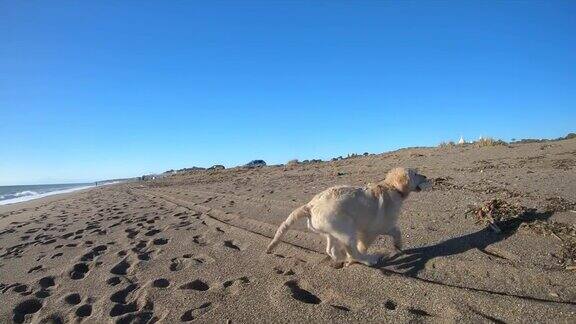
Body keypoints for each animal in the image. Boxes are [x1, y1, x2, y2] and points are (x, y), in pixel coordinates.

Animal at [266, 167, 428, 266]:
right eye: (415, 174)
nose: (426, 176)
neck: (391, 187)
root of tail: (310, 205)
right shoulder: (373, 229)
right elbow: (365, 245)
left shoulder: (385, 226)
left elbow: (397, 231)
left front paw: (398, 246)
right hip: (346, 230)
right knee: (353, 251)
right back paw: (368, 260)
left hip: (332, 231)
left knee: (330, 249)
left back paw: (342, 258)